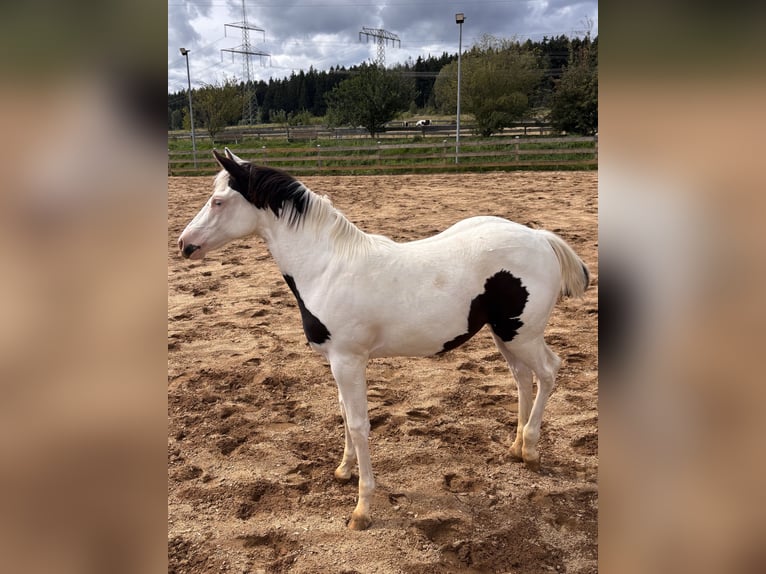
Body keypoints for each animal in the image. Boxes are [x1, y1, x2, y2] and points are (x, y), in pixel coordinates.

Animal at [178, 148, 590, 530]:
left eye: (218, 201)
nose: (184, 244)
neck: (327, 267)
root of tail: (540, 238)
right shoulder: (336, 362)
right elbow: (345, 415)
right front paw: (343, 471)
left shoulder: (348, 361)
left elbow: (360, 425)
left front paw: (361, 510)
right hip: (506, 334)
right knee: (522, 378)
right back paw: (516, 447)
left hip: (523, 334)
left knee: (549, 371)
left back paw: (531, 450)